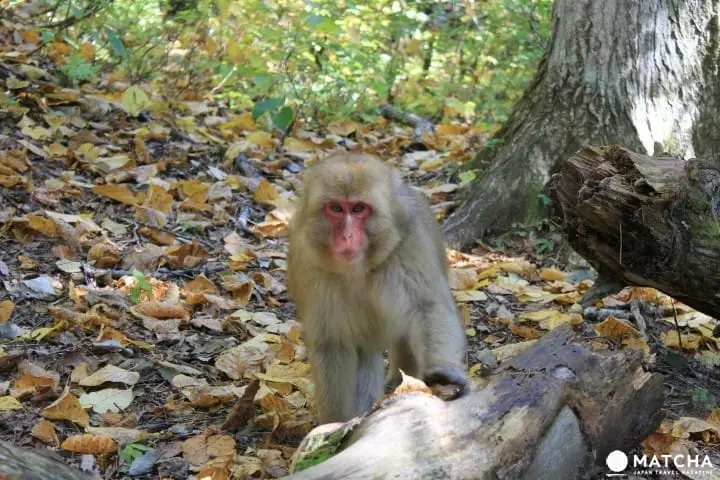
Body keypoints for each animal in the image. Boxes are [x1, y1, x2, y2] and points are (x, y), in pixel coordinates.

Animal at [287, 152, 468, 424]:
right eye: (336, 208)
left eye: (358, 209)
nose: (347, 236)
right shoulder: (307, 259)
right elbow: (331, 341)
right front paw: (336, 422)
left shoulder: (410, 242)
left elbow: (427, 307)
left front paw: (441, 374)